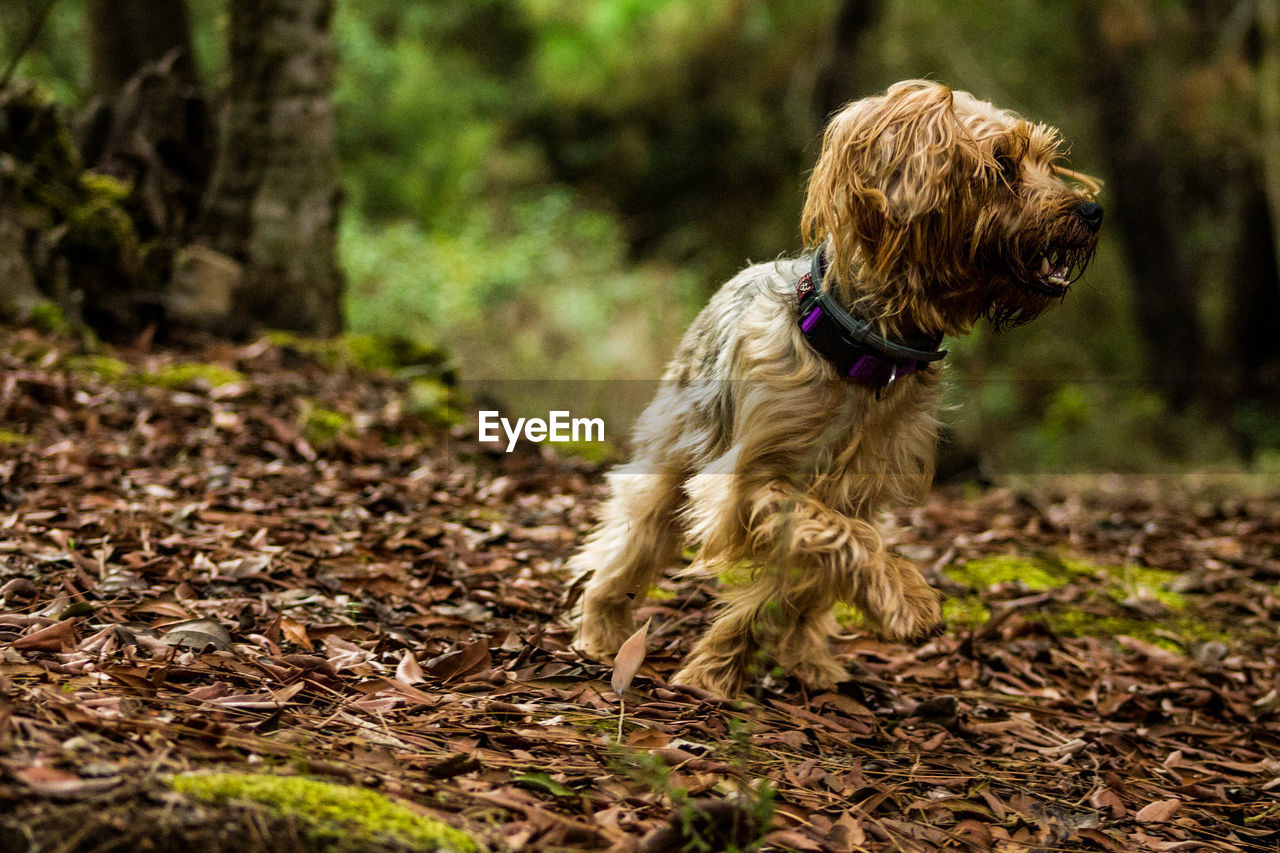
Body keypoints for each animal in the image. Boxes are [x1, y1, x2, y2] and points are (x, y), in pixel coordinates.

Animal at [568, 78, 1100, 696]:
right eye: (1002, 165)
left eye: (1047, 160)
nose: (1093, 211)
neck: (865, 354)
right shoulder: (749, 484)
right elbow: (836, 537)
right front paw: (910, 600)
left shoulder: (857, 489)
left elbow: (798, 574)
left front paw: (718, 667)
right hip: (671, 453)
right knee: (629, 541)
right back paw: (601, 631)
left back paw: (809, 660)